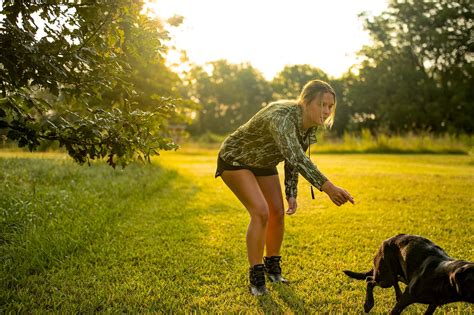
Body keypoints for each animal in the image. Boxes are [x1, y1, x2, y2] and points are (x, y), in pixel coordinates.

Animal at [344, 233, 474, 314]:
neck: (443, 277)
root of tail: (385, 241)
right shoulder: (407, 297)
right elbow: (395, 311)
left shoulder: (433, 303)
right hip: (386, 278)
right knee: (370, 280)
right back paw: (368, 304)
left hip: (400, 275)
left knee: (394, 280)